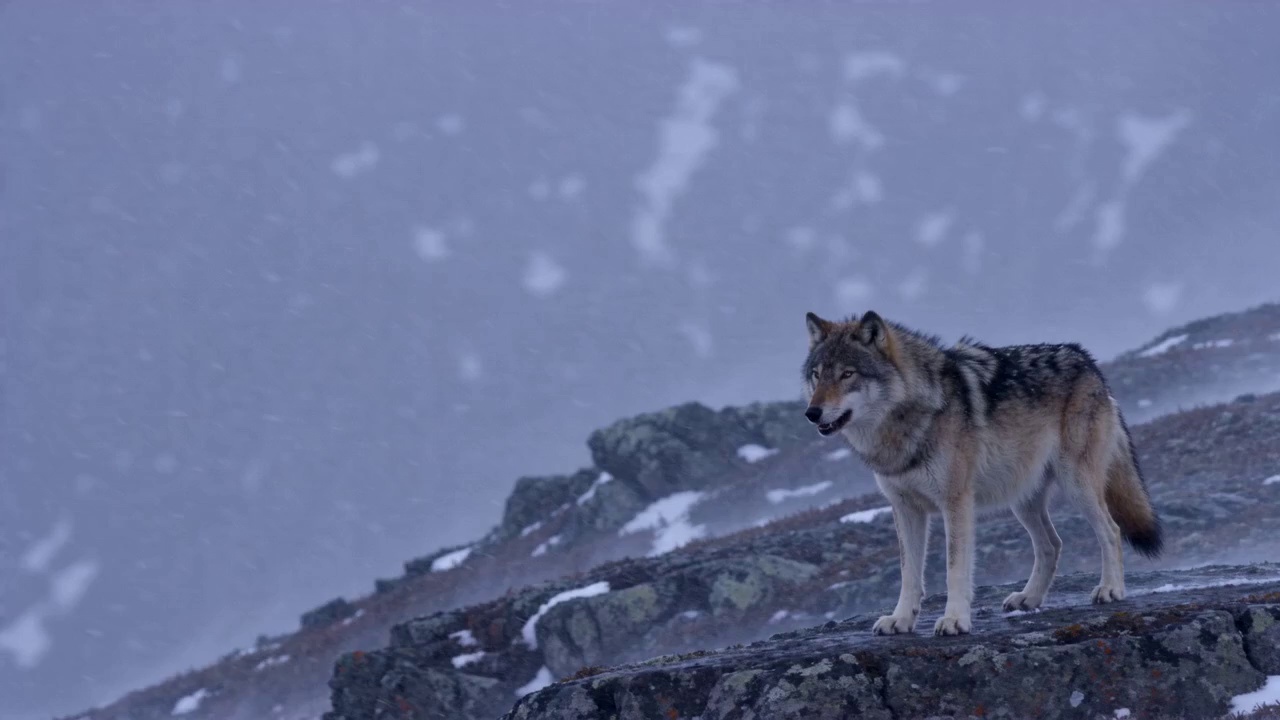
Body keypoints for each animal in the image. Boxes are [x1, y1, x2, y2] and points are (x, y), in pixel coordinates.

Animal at [801, 311, 1162, 636]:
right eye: (817, 375)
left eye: (847, 374)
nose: (811, 412)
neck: (909, 420)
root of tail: (1086, 359)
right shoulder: (905, 508)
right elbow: (908, 574)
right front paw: (901, 620)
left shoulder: (956, 503)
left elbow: (954, 568)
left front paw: (954, 620)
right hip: (1023, 501)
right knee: (1052, 544)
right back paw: (1028, 598)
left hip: (1077, 487)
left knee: (1111, 530)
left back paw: (1111, 589)